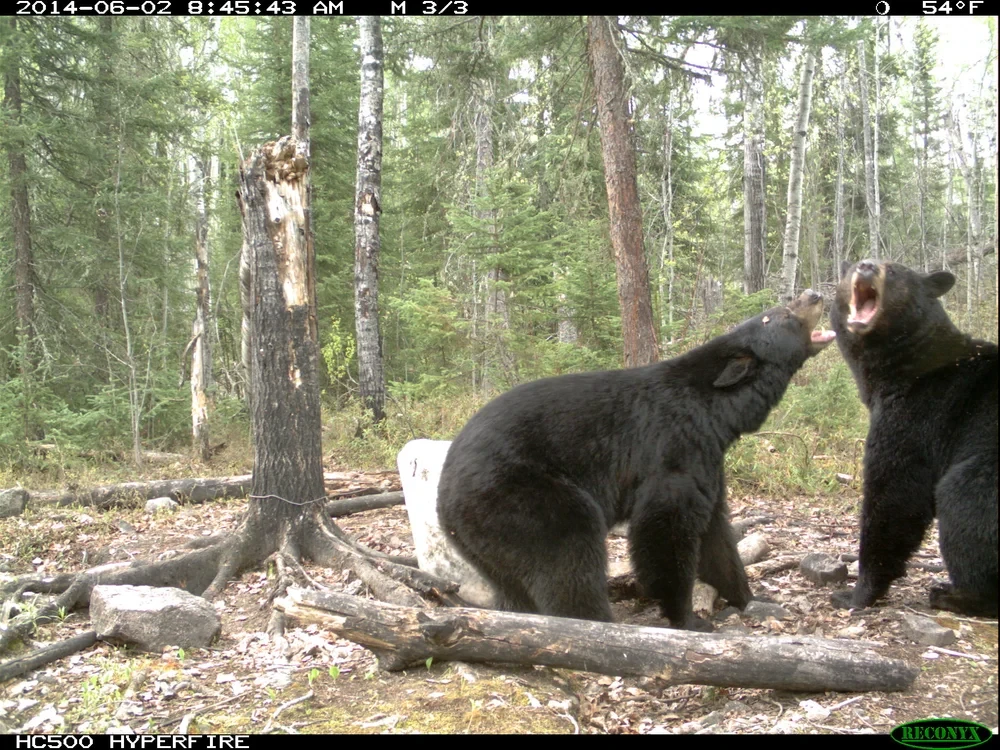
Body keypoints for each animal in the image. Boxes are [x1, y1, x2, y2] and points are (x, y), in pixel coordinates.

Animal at [436, 290, 835, 631]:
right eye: (779, 315)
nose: (814, 293)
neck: (714, 411)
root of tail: (444, 495)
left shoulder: (708, 459)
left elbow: (717, 534)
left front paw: (751, 598)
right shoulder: (674, 448)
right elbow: (664, 527)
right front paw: (688, 618)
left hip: (485, 540)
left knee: (512, 583)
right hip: (520, 498)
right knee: (568, 555)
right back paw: (599, 623)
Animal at [829, 259, 998, 617]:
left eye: (893, 271)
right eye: (850, 269)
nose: (866, 266)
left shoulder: (917, 414)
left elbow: (896, 495)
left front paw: (857, 592)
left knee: (962, 501)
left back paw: (954, 595)